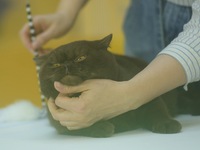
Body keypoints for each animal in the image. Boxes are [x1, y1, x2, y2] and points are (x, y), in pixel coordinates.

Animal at [34, 34, 200, 138]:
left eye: (80, 57)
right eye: (55, 64)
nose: (67, 65)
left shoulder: (147, 98)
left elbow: (156, 111)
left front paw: (166, 124)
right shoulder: (61, 124)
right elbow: (81, 127)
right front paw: (102, 128)